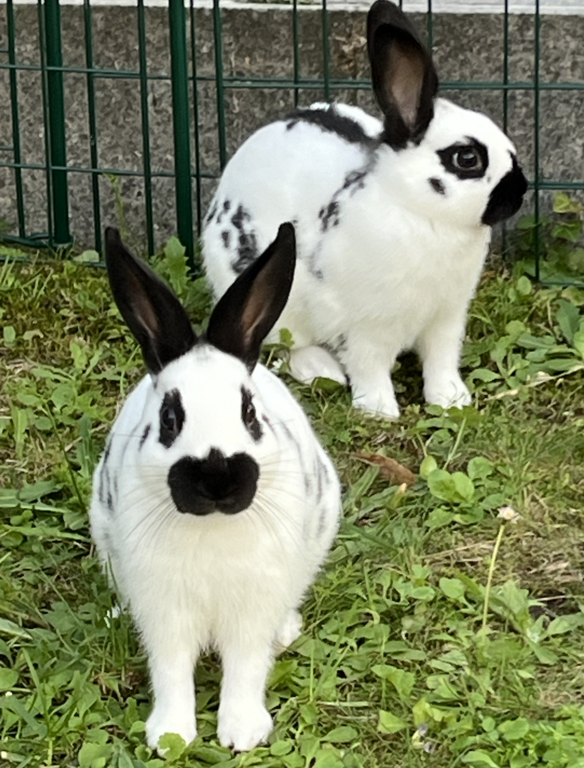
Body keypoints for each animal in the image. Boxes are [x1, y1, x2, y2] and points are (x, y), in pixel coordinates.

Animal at [89, 225, 341, 753]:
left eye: (249, 413)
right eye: (169, 418)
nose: (218, 479)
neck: (212, 525)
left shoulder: (252, 607)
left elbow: (246, 666)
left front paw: (243, 731)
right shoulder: (164, 610)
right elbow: (170, 670)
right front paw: (170, 735)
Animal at [202, 0, 528, 419]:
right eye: (467, 158)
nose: (520, 192)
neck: (422, 215)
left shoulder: (446, 318)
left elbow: (441, 360)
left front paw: (451, 400)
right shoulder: (366, 327)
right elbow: (369, 366)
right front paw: (379, 409)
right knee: (288, 345)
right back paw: (320, 369)